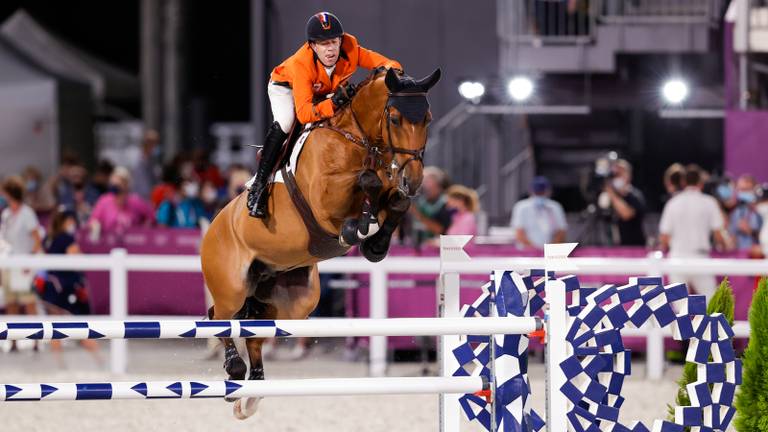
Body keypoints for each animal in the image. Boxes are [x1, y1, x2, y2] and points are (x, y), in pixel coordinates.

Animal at [201, 68, 440, 418]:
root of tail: (212, 226)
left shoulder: (388, 188)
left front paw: (375, 244)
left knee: (255, 332)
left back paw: (253, 389)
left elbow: (394, 200)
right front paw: (357, 228)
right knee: (218, 317)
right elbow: (366, 181)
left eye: (427, 118)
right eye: (395, 118)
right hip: (232, 286)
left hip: (295, 301)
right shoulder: (325, 199)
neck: (356, 138)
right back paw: (234, 369)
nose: (414, 180)